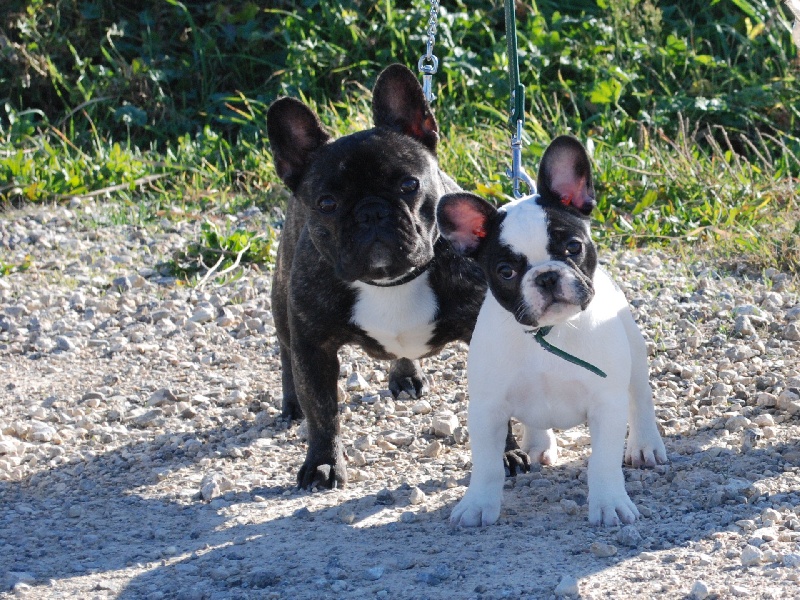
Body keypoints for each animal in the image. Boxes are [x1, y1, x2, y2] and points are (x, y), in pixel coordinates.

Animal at [266, 64, 531, 489]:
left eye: (410, 185)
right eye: (327, 203)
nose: (372, 212)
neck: (392, 282)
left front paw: (504, 454)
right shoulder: (314, 346)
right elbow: (322, 413)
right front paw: (323, 463)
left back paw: (407, 375)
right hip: (283, 303)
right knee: (287, 353)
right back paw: (291, 404)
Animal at [437, 135, 668, 526]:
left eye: (573, 247)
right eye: (505, 271)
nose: (546, 276)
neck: (549, 332)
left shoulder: (606, 403)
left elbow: (602, 462)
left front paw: (609, 503)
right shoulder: (487, 408)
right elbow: (487, 465)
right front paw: (478, 504)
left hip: (634, 356)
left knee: (641, 398)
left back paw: (645, 445)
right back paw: (538, 444)